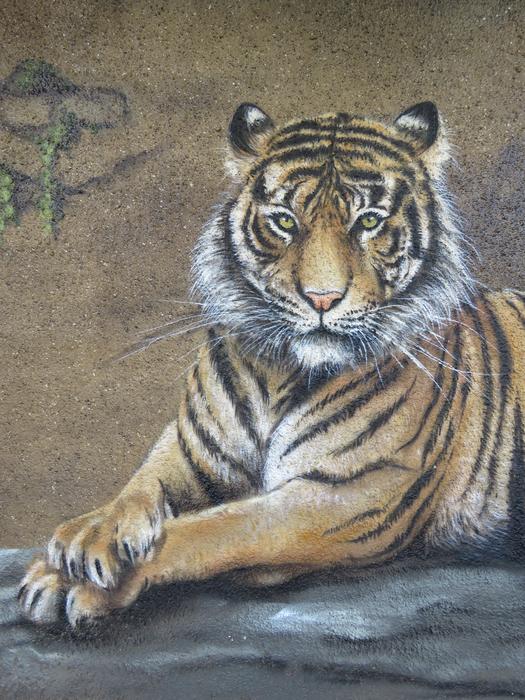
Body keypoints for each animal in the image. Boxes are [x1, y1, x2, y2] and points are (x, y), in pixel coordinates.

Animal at [19, 101, 525, 627]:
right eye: (284, 220)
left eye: (368, 222)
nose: (322, 299)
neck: (280, 374)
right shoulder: (192, 449)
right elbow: (139, 487)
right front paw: (85, 541)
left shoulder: (356, 492)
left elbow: (218, 527)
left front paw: (83, 584)